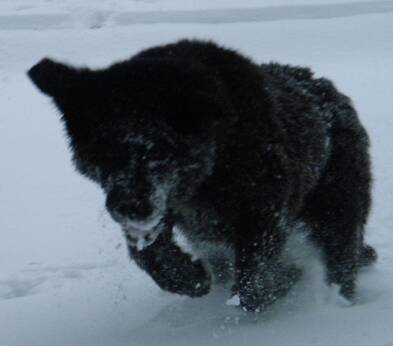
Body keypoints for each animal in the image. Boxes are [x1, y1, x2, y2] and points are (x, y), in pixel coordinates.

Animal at [27, 39, 376, 310]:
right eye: (101, 155)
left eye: (157, 151)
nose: (128, 208)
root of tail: (328, 90)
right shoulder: (164, 209)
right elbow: (149, 254)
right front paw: (188, 277)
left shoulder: (264, 210)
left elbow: (253, 282)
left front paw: (282, 281)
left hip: (337, 207)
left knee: (341, 255)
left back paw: (338, 302)